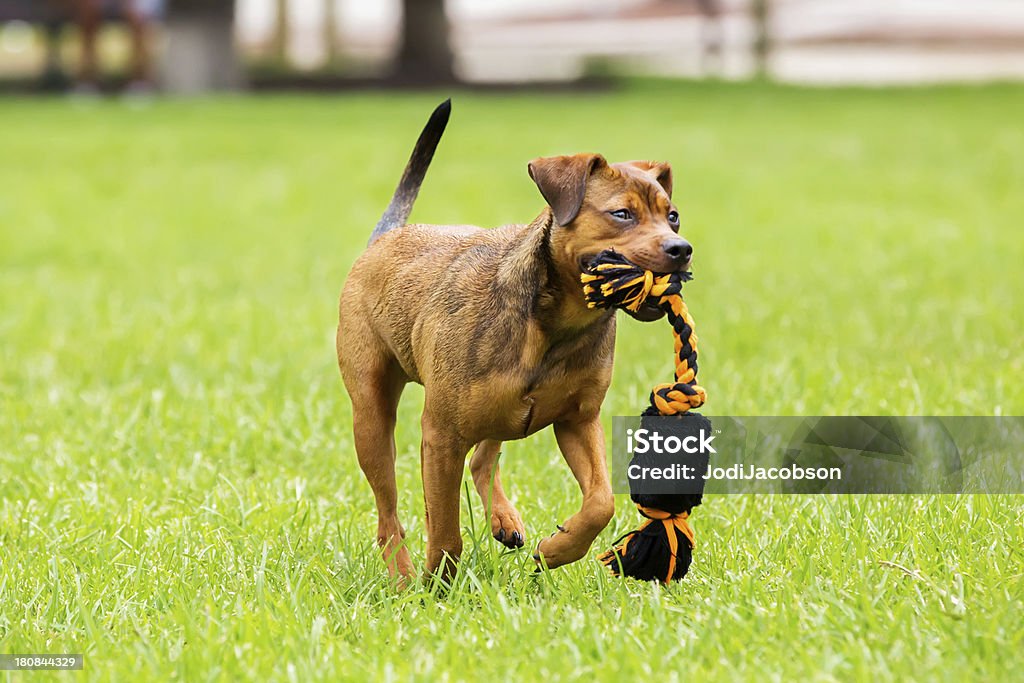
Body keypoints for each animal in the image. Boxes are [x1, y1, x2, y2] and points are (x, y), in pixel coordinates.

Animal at [339, 101, 692, 581]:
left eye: (672, 216)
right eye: (621, 214)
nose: (681, 248)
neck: (556, 324)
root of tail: (385, 237)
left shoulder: (579, 420)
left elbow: (601, 502)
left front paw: (559, 549)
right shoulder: (440, 435)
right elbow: (444, 528)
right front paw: (438, 583)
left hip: (498, 412)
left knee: (482, 459)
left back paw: (503, 520)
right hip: (372, 419)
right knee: (388, 510)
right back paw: (402, 575)